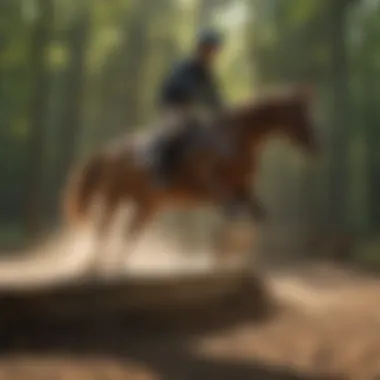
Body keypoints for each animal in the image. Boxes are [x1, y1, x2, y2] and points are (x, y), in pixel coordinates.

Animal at [62, 85, 318, 272]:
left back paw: (116, 265)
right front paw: (224, 250)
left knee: (129, 233)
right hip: (114, 198)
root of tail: (109, 151)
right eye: (298, 114)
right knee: (103, 228)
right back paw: (94, 263)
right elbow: (237, 215)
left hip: (146, 206)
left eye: (308, 113)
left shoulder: (243, 191)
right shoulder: (217, 188)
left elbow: (257, 216)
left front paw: (231, 253)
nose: (317, 145)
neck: (235, 139)